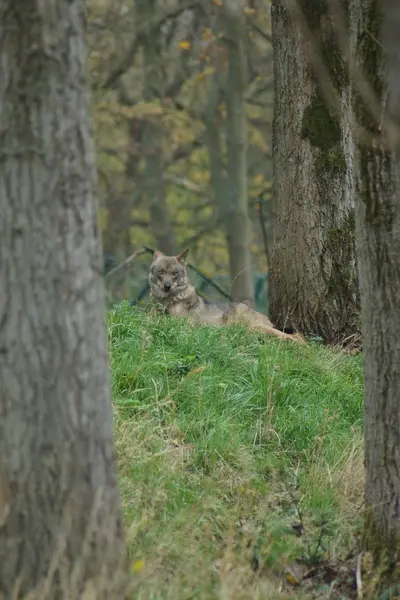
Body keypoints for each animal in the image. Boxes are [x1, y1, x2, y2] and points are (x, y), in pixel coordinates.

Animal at [148, 247, 304, 342]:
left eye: (174, 273)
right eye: (161, 272)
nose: (167, 286)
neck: (167, 301)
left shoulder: (184, 324)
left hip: (255, 328)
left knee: (295, 336)